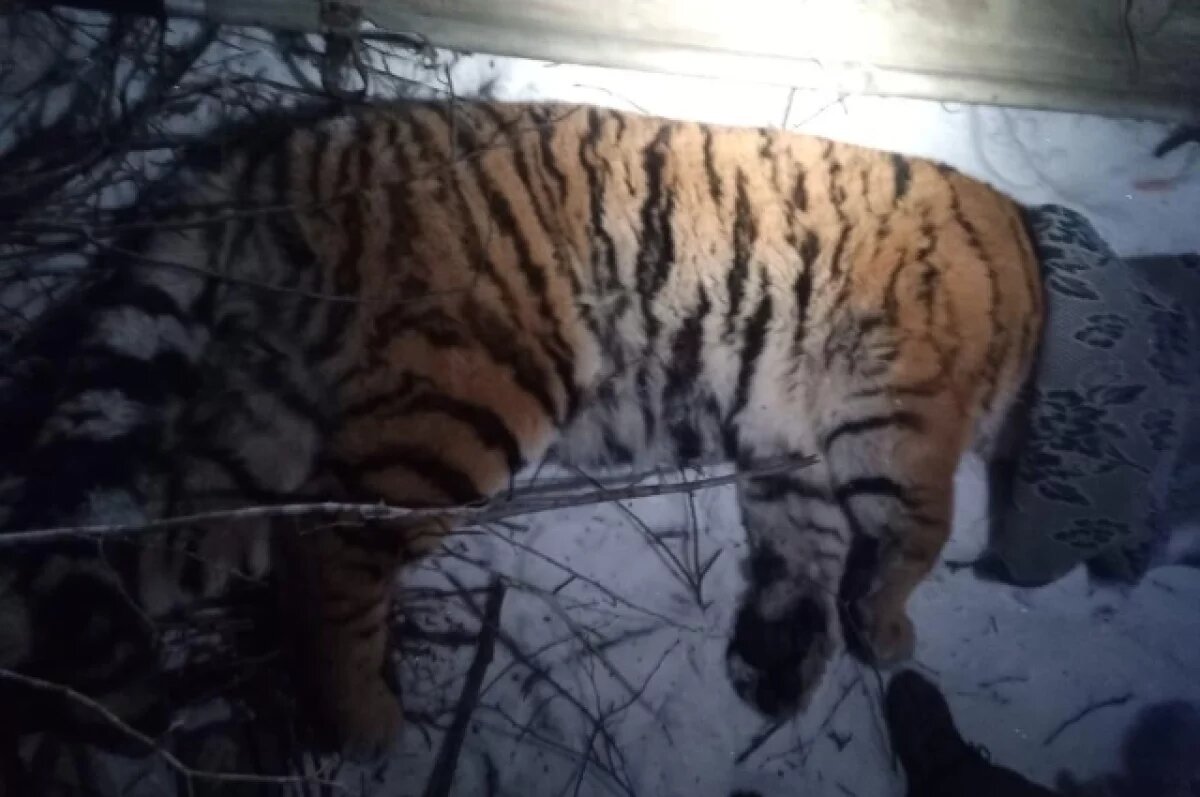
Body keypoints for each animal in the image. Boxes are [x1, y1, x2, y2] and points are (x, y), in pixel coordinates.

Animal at [0, 100, 1043, 756]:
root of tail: (285, 149)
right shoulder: (903, 410)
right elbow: (919, 528)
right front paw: (889, 630)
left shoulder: (792, 445)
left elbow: (808, 550)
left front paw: (780, 661)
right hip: (470, 394)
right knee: (330, 547)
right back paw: (368, 728)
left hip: (261, 424)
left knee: (134, 555)